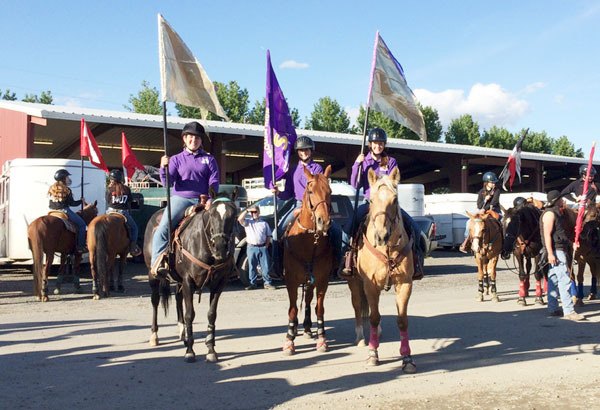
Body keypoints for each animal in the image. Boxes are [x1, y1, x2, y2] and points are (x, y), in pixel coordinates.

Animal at [144, 193, 238, 362]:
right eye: (211, 214)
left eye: (233, 215)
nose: (220, 247)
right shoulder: (189, 281)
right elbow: (190, 315)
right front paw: (190, 351)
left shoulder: (219, 283)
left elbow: (211, 315)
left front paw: (211, 350)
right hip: (152, 274)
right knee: (155, 300)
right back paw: (154, 335)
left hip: (179, 280)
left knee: (178, 297)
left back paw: (183, 333)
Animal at [284, 165, 336, 354]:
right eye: (311, 190)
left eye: (329, 191)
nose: (324, 221)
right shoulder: (291, 280)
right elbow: (292, 309)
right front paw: (289, 339)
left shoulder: (322, 280)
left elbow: (319, 308)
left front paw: (322, 339)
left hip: (310, 280)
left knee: (307, 300)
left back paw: (307, 327)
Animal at [346, 168, 418, 374]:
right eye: (371, 201)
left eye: (395, 199)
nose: (381, 236)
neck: (387, 250)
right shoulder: (369, 285)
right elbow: (373, 317)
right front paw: (373, 355)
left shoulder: (404, 284)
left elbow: (402, 320)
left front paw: (407, 358)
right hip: (355, 283)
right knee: (358, 307)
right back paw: (361, 338)